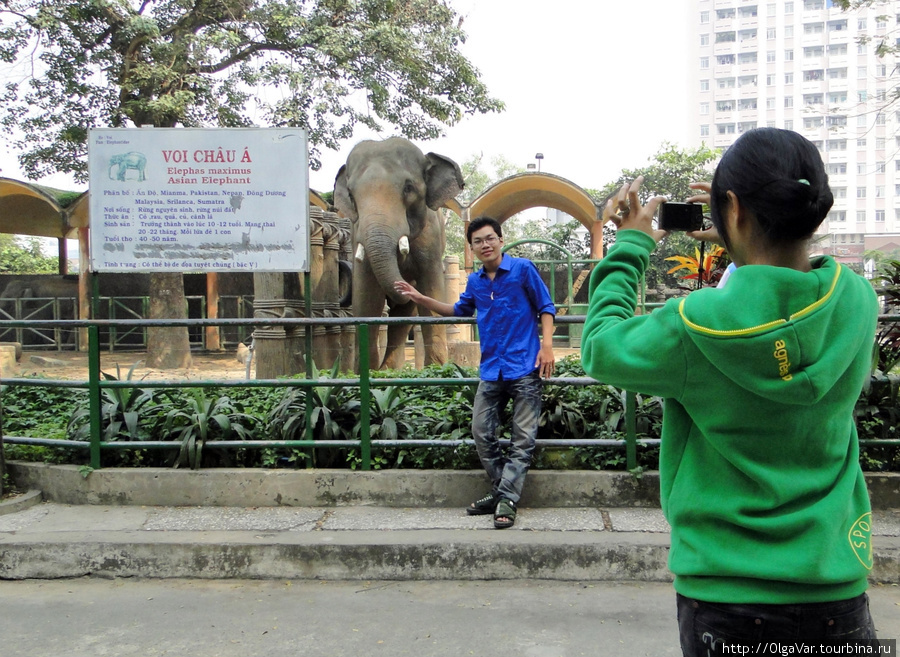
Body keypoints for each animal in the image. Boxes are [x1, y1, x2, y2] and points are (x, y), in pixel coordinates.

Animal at [336, 136, 464, 368]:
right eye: (351, 194)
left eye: (409, 188)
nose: (404, 284)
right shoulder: (357, 231)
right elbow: (366, 299)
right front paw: (367, 372)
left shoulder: (431, 237)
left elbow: (431, 291)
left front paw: (438, 370)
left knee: (404, 318)